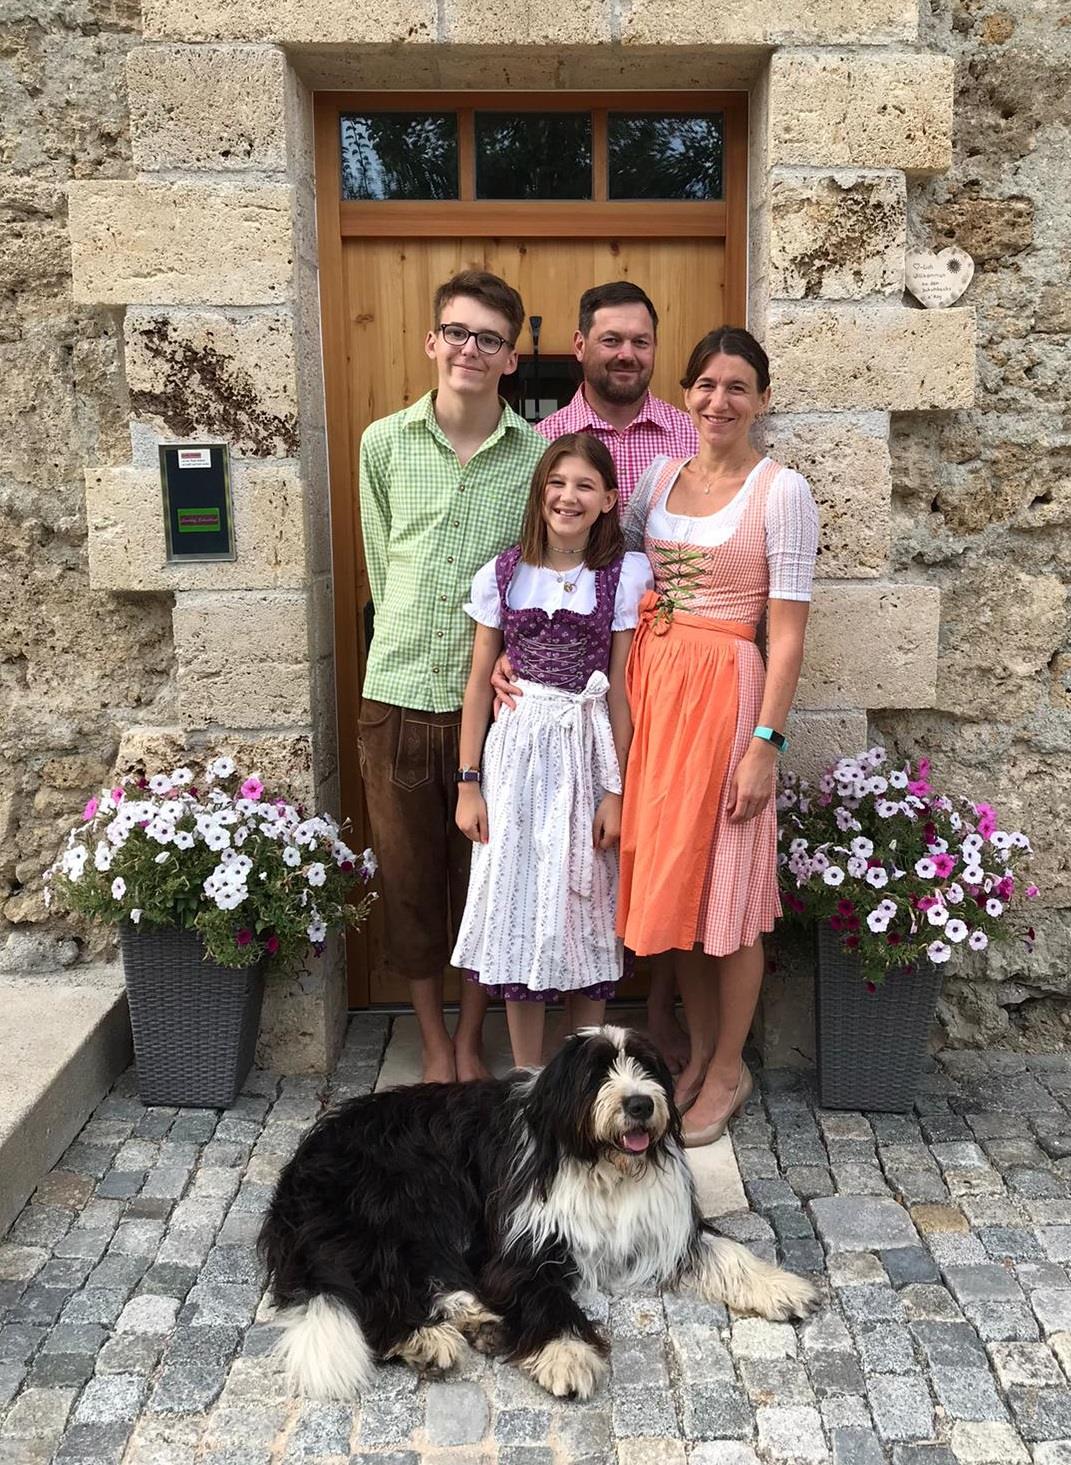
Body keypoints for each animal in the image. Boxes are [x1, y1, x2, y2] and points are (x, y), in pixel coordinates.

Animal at [258, 1025, 820, 1401]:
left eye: (647, 1068)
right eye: (597, 1074)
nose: (640, 1105)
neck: (596, 1164)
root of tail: (298, 1171)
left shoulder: (665, 1224)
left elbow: (726, 1252)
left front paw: (779, 1286)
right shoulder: (522, 1239)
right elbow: (542, 1294)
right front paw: (568, 1353)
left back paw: (476, 1318)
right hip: (411, 1201)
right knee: (379, 1288)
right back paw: (425, 1339)